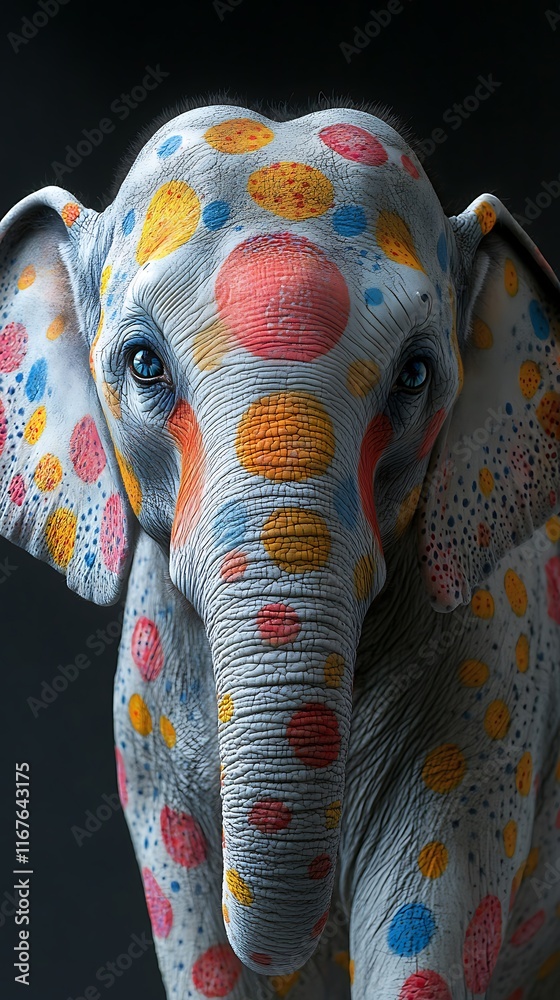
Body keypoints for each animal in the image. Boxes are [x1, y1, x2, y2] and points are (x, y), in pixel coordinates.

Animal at [1, 95, 560, 1000]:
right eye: (144, 363)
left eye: (415, 375)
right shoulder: (146, 750)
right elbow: (203, 953)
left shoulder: (490, 709)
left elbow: (421, 945)